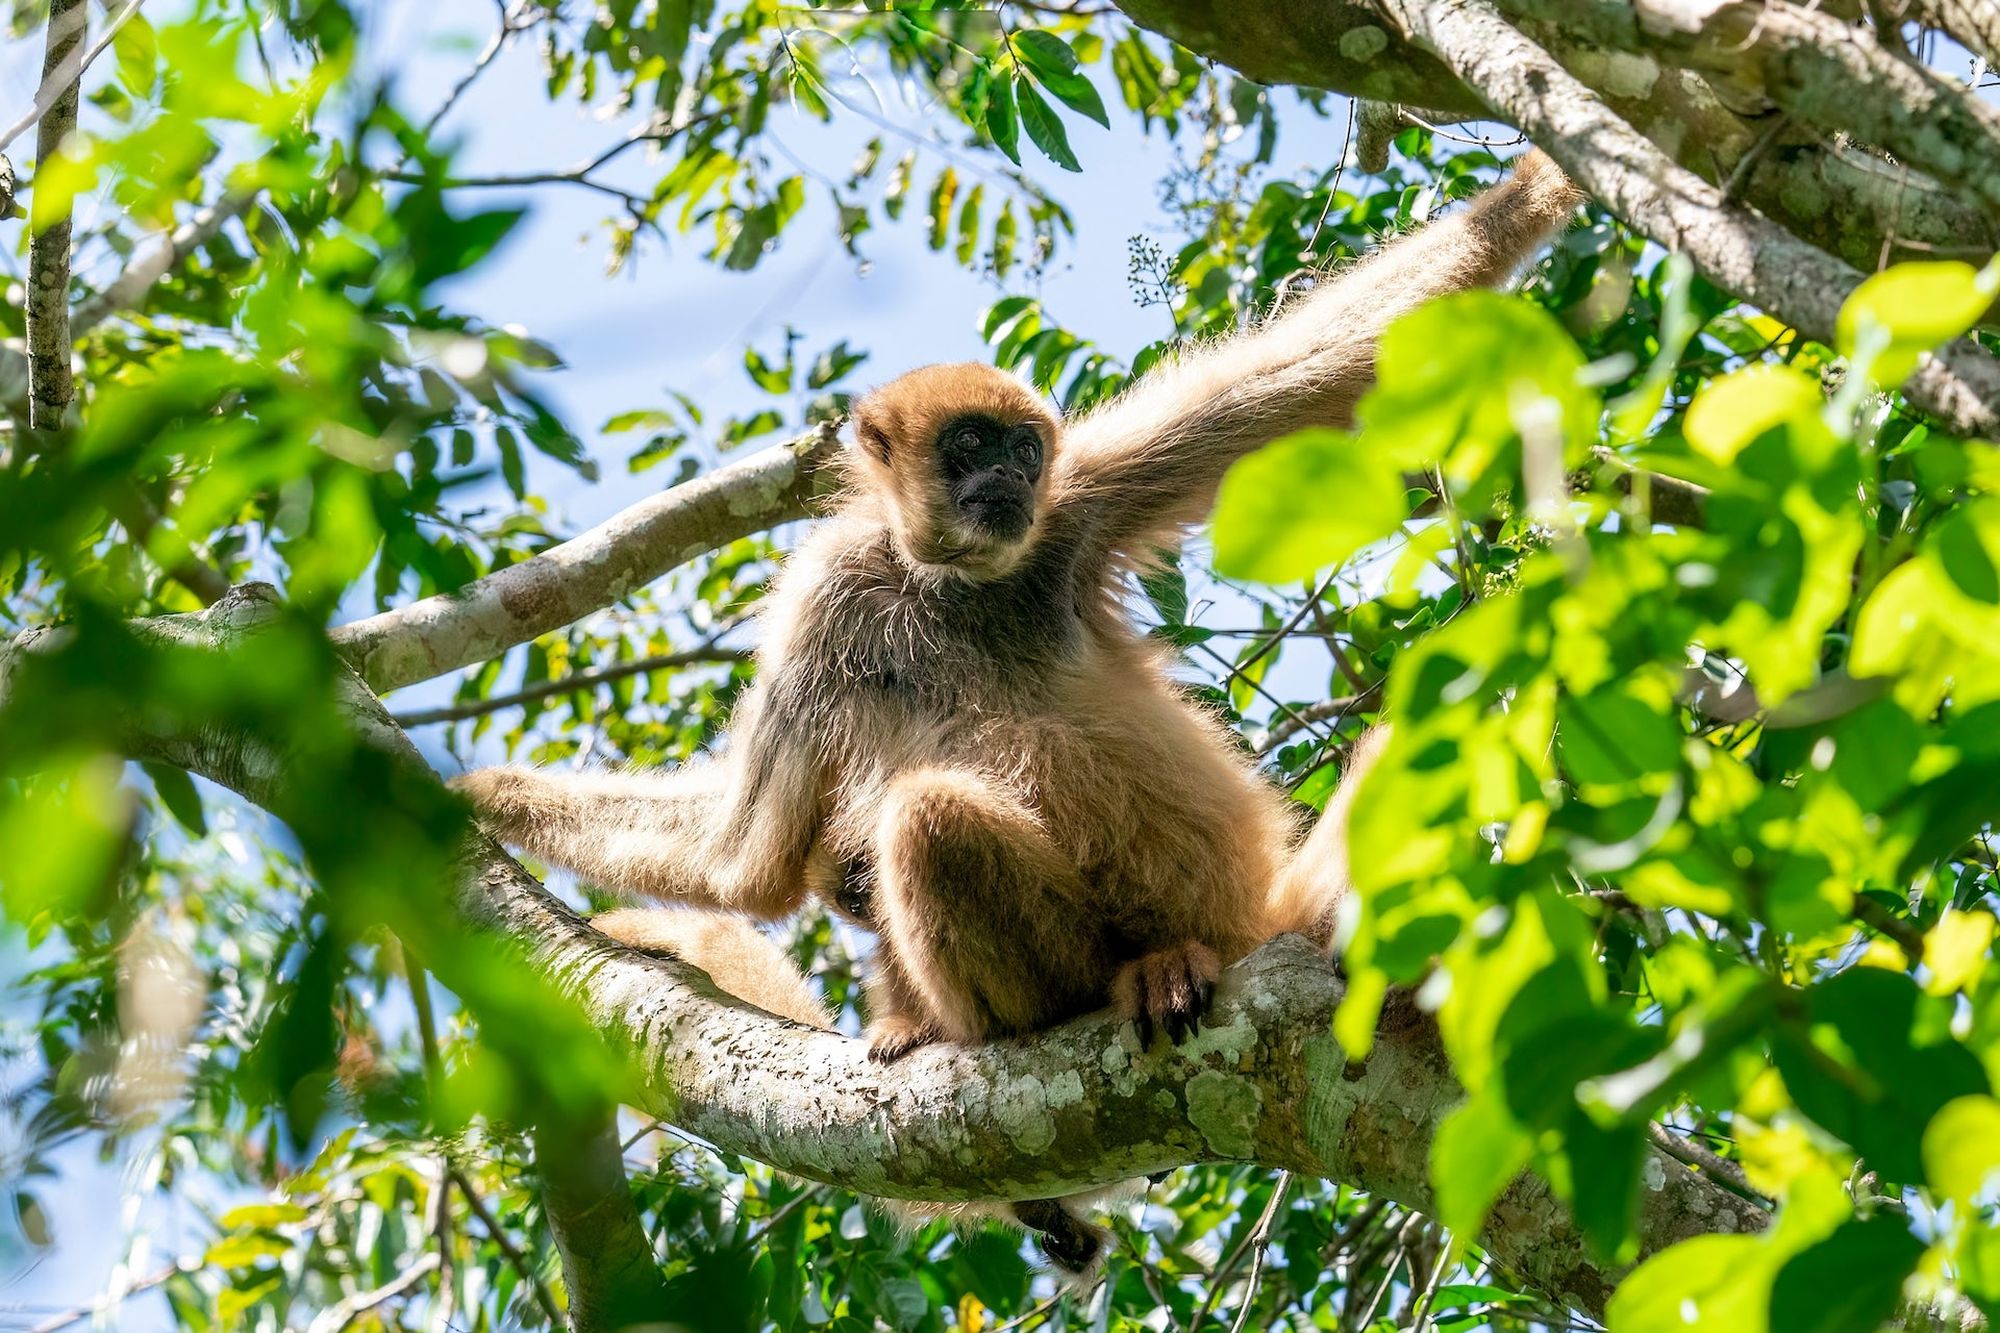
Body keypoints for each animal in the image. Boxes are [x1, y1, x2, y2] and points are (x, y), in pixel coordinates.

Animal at [458, 153, 1592, 1256]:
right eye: (968, 444)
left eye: (1023, 449)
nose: (1006, 473)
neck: (946, 587)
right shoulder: (828, 600)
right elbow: (746, 861)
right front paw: (476, 798)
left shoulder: (1071, 513)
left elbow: (1316, 368)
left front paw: (1549, 172)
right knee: (928, 820)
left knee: (923, 821)